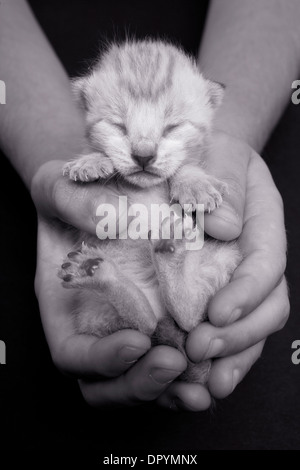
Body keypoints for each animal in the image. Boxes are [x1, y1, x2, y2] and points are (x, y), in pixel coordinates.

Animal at [58, 40, 241, 384]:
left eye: (172, 127)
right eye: (118, 125)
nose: (143, 156)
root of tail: (159, 305)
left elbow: (186, 166)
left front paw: (194, 184)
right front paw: (91, 161)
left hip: (221, 260)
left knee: (191, 317)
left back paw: (169, 257)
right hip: (93, 308)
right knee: (143, 325)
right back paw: (99, 273)